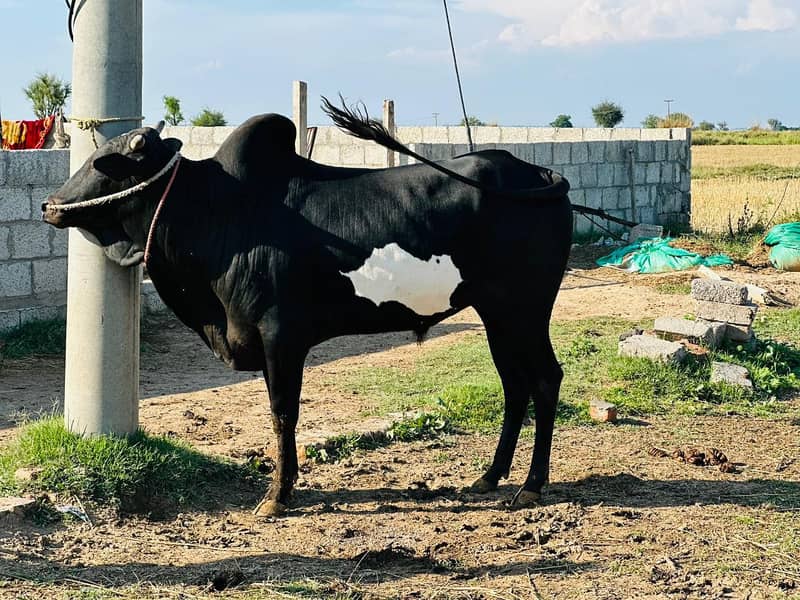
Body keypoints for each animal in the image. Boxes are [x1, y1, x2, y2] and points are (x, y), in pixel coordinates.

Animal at [42, 99, 573, 517]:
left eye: (104, 163)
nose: (49, 205)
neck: (219, 213)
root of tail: (542, 174)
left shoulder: (280, 337)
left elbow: (283, 412)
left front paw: (277, 496)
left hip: (525, 311)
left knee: (545, 379)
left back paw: (531, 486)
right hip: (497, 316)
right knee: (514, 385)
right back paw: (490, 476)